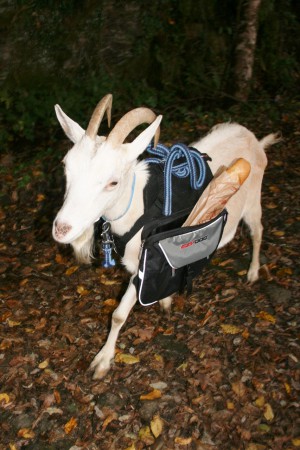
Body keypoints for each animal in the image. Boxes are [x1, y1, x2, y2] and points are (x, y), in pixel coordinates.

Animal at [53, 95, 278, 380]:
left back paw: (253, 272)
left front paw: (102, 361)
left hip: (252, 203)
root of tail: (254, 139)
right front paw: (166, 299)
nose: (62, 229)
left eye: (113, 182)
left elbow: (118, 314)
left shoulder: (143, 262)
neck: (139, 206)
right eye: (65, 166)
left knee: (258, 232)